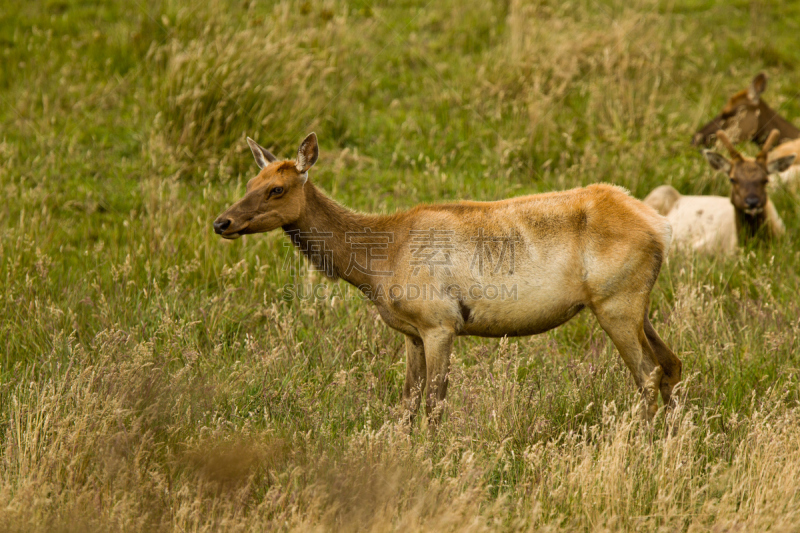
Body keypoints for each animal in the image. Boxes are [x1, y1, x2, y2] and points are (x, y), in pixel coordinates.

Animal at [212, 132, 680, 424]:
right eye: (251, 180)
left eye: (277, 189)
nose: (222, 222)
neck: (374, 267)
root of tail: (659, 227)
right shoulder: (412, 332)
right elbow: (406, 402)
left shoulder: (439, 321)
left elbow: (434, 405)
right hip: (634, 303)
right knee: (671, 364)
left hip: (616, 302)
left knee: (647, 373)